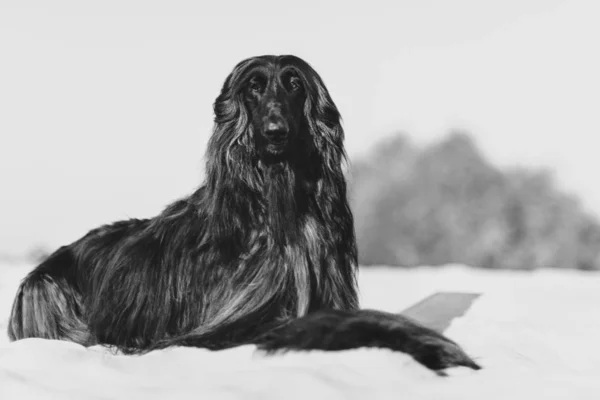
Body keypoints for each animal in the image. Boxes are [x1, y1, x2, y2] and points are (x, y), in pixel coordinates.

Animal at [7, 55, 478, 372]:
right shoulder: (225, 323)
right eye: (253, 87)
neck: (278, 202)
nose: (274, 133)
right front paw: (437, 349)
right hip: (44, 290)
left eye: (294, 84)